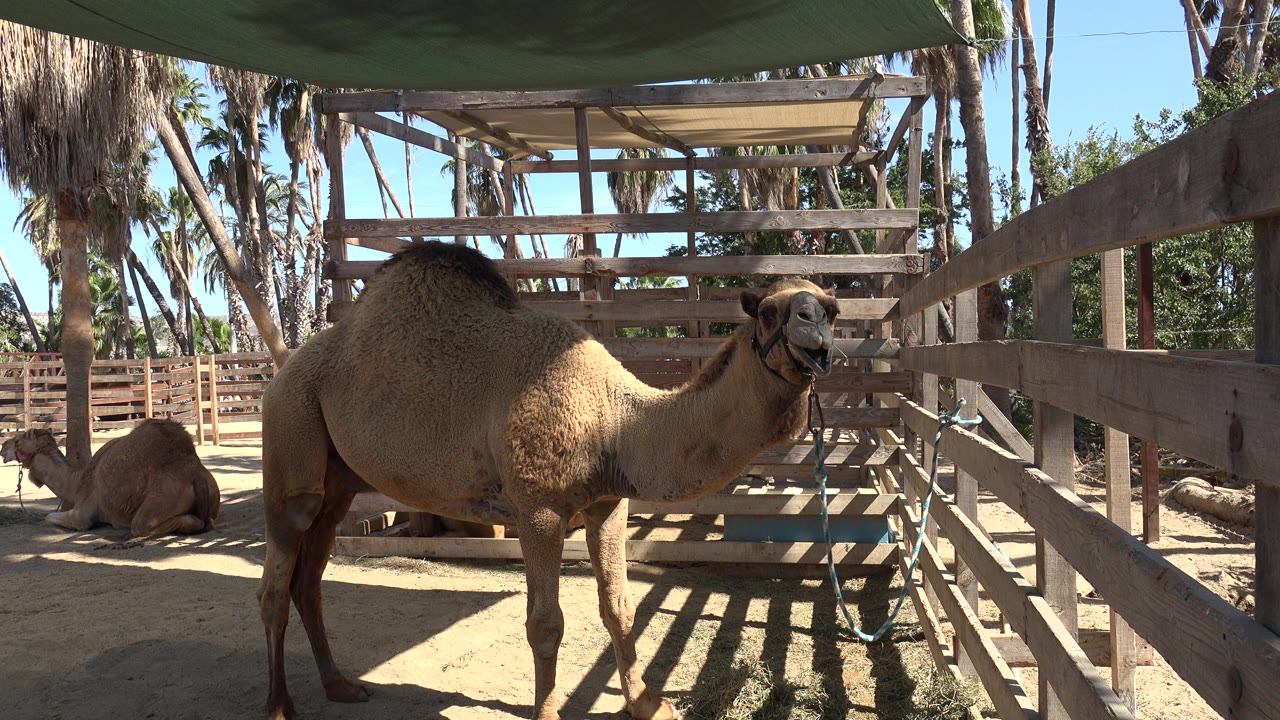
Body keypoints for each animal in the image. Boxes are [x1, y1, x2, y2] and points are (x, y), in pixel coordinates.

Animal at [0, 419, 220, 537]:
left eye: (18, 440)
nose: (3, 447)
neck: (77, 483)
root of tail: (196, 475)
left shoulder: (82, 515)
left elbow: (49, 517)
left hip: (160, 501)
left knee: (142, 525)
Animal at [257, 241, 837, 720]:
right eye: (769, 311)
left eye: (831, 308)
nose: (816, 334)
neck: (612, 420)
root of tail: (281, 371)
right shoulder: (537, 507)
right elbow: (545, 623)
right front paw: (549, 712)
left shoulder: (608, 503)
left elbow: (620, 608)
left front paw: (648, 704)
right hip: (290, 435)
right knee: (276, 585)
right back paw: (281, 706)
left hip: (338, 481)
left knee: (310, 581)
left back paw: (341, 687)